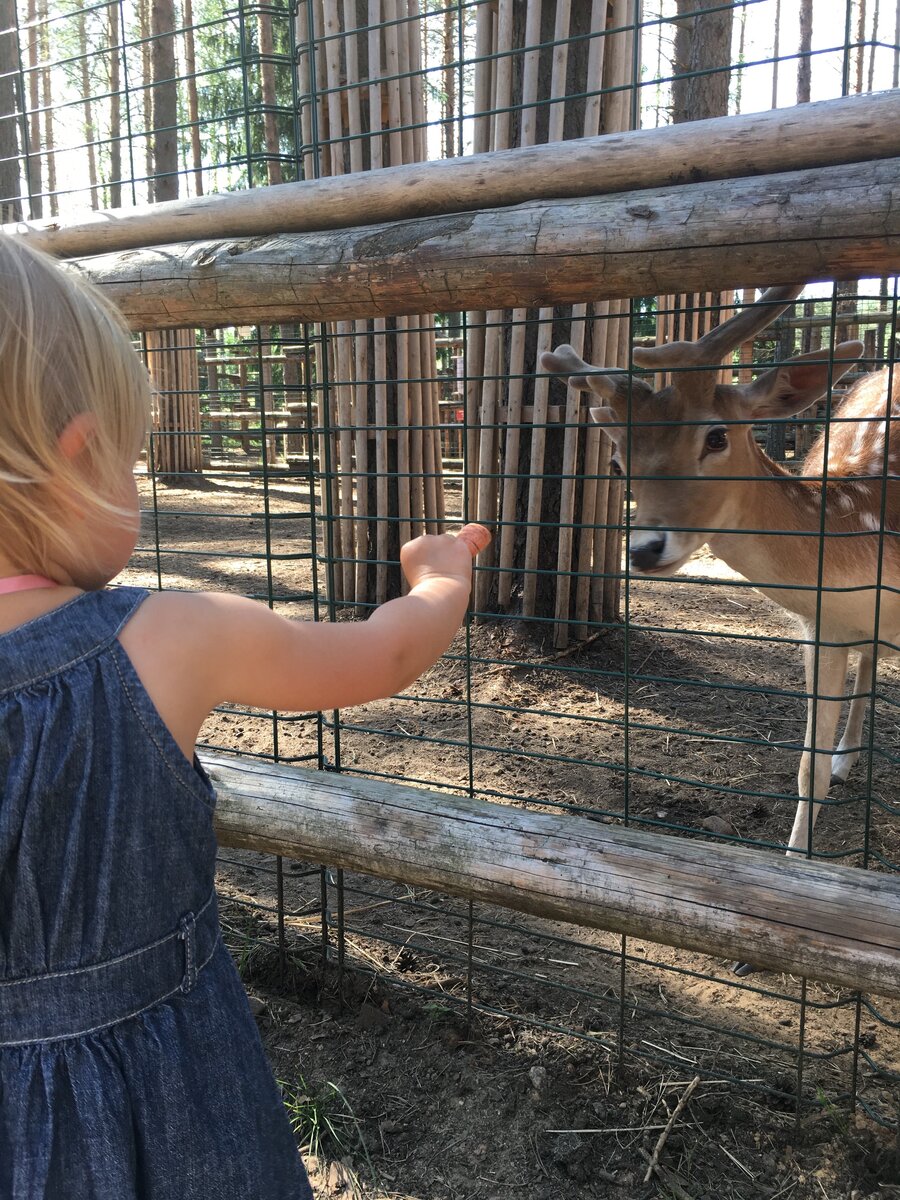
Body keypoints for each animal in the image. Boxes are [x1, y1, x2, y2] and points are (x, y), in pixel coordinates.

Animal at [542, 285, 900, 902]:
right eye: (618, 460)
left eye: (716, 436)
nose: (645, 549)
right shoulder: (822, 625)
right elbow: (805, 763)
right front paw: (796, 865)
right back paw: (845, 761)